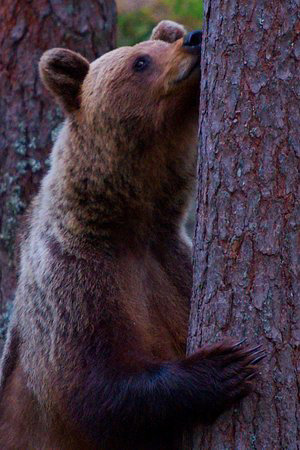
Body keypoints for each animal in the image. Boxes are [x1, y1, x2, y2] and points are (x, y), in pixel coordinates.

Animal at [0, 20, 262, 450]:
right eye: (140, 61)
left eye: (165, 41)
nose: (194, 38)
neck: (129, 224)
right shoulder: (74, 281)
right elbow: (92, 385)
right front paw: (226, 365)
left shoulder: (171, 262)